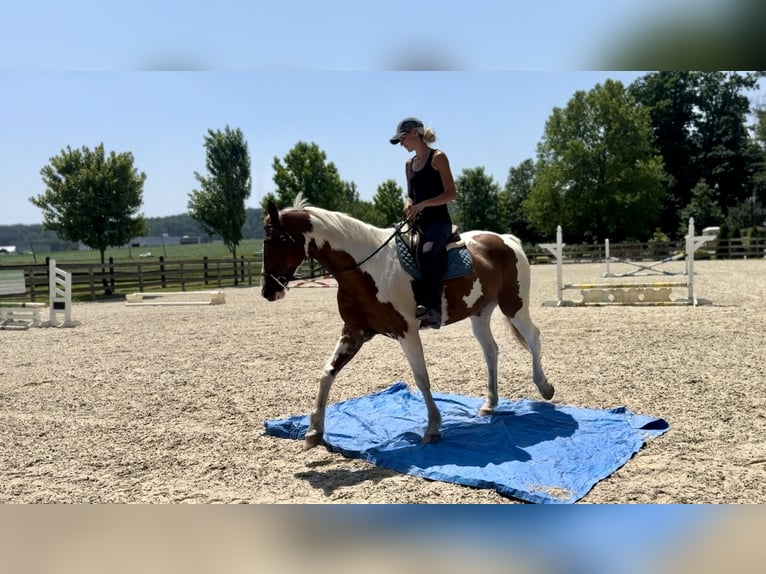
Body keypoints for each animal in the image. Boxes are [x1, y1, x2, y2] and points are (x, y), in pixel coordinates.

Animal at [261, 194, 554, 450]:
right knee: (491, 351)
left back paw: (544, 387)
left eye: (274, 240)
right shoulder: (354, 332)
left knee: (534, 337)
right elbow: (327, 373)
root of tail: (506, 239)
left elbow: (421, 377)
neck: (366, 269)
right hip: (480, 314)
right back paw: (490, 403)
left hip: (514, 305)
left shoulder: (406, 332)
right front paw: (314, 431)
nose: (268, 291)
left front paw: (433, 427)